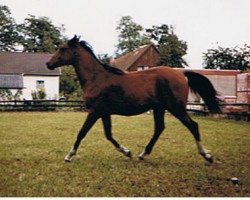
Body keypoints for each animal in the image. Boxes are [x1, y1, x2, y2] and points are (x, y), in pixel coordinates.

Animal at [46, 36, 220, 163]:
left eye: (62, 49)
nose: (48, 64)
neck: (96, 78)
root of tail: (181, 74)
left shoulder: (94, 111)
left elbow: (82, 133)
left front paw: (69, 156)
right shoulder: (104, 113)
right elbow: (108, 134)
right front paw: (127, 152)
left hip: (176, 107)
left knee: (193, 126)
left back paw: (207, 156)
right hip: (159, 108)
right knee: (159, 128)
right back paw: (142, 154)